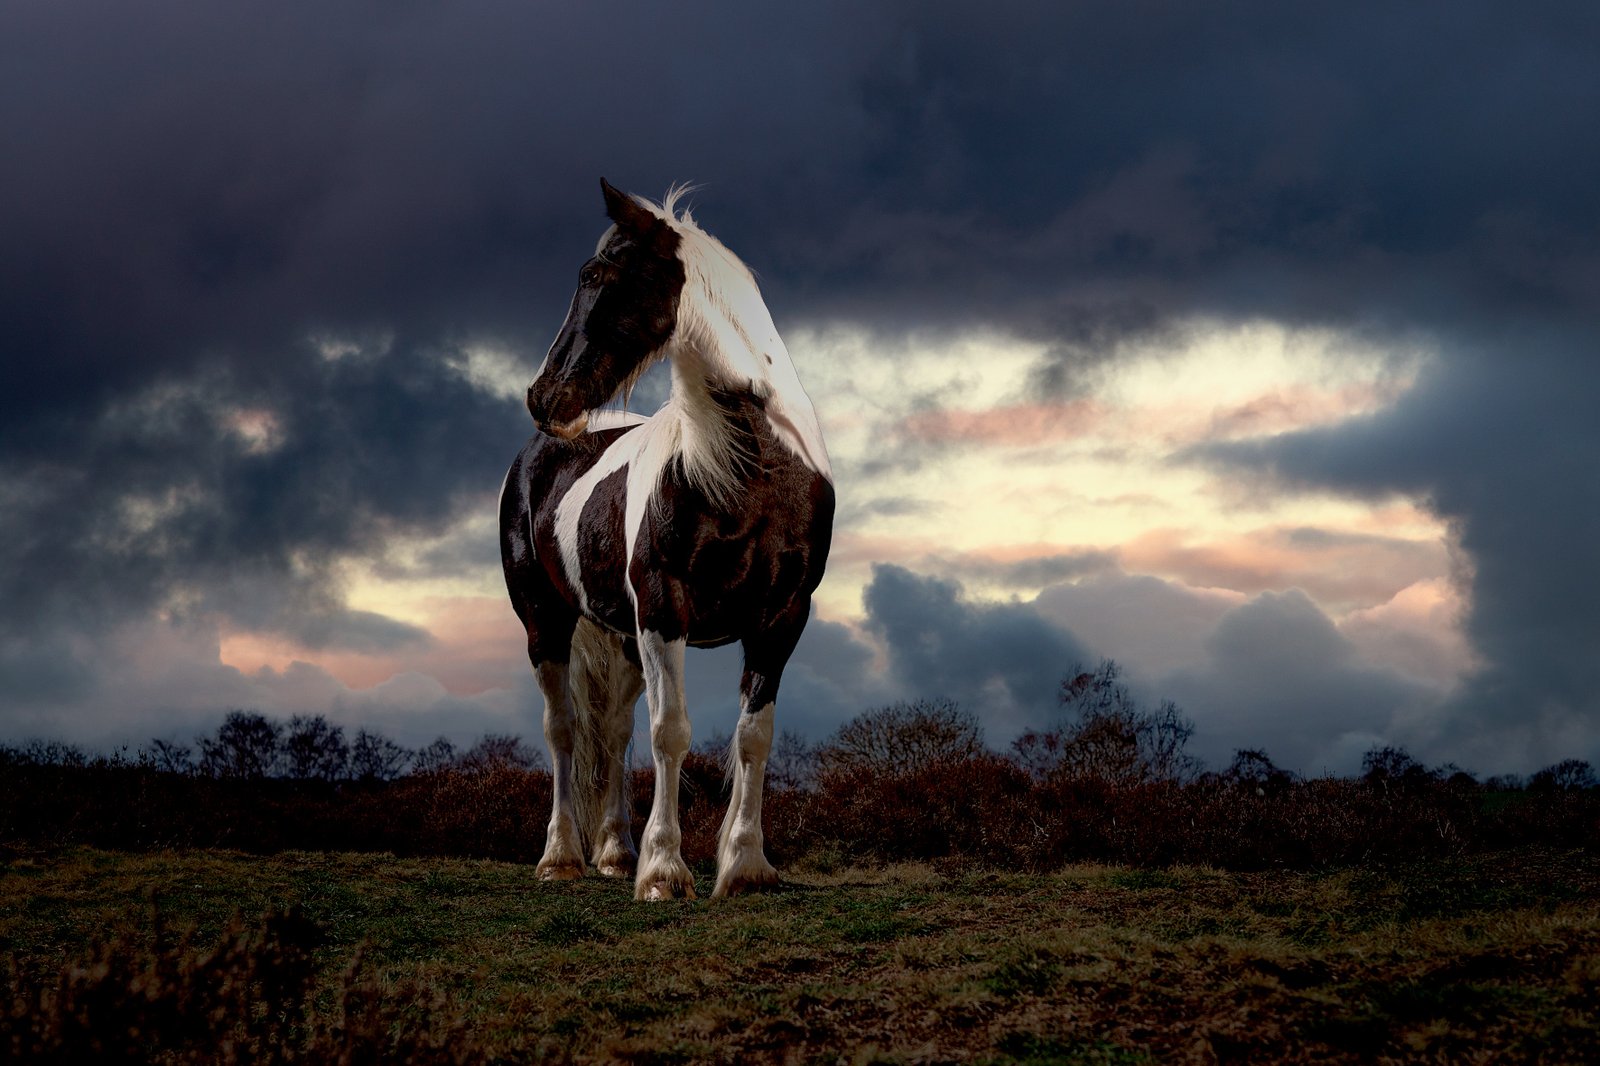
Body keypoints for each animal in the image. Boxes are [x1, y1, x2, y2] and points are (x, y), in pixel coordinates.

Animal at [499, 179, 834, 899]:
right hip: (546, 622)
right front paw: (663, 871)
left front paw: (744, 866)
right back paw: (562, 857)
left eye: (597, 274)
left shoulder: (783, 617)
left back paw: (612, 853)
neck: (748, 470)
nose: (543, 397)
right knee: (564, 729)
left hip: (619, 637)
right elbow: (671, 733)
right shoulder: (663, 609)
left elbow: (752, 737)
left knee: (612, 731)